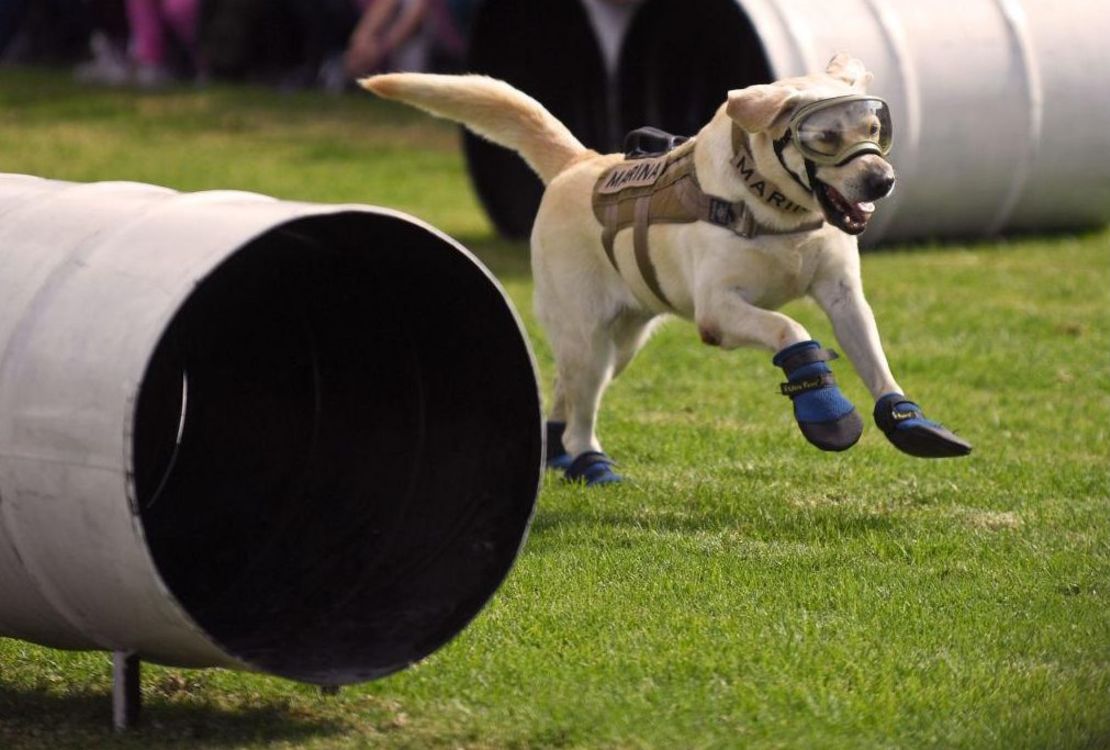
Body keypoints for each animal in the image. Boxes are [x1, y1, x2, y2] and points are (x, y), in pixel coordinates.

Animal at [359, 54, 967, 485]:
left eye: (875, 127)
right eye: (823, 137)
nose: (882, 181)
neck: (776, 209)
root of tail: (580, 163)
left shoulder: (843, 295)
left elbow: (874, 358)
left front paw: (909, 420)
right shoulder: (717, 311)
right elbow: (790, 328)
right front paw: (825, 408)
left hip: (621, 345)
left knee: (565, 392)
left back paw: (559, 455)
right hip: (589, 337)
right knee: (581, 408)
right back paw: (589, 463)